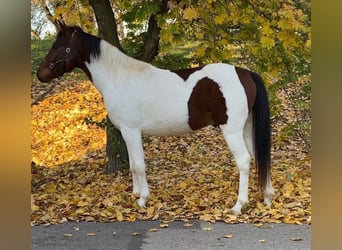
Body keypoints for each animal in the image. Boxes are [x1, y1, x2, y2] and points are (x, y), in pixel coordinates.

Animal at [36, 20, 276, 215]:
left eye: (57, 46)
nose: (41, 74)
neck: (119, 78)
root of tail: (245, 73)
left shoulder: (132, 131)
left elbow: (139, 165)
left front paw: (143, 200)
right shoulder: (127, 132)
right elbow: (133, 165)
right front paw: (135, 194)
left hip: (232, 130)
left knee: (244, 161)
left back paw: (238, 206)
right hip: (246, 128)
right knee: (259, 156)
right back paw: (267, 197)